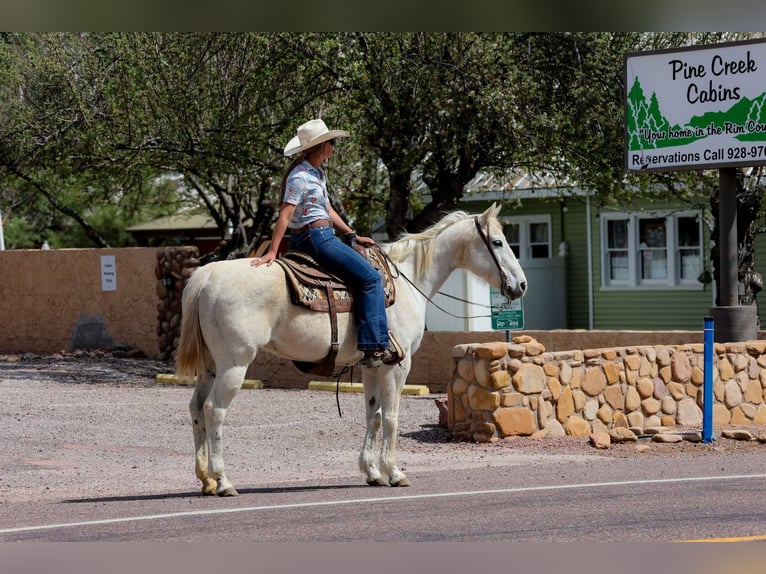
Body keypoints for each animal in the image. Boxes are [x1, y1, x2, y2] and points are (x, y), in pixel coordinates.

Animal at [175, 203, 527, 496]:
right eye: (498, 242)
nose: (521, 285)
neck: (407, 281)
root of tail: (207, 275)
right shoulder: (398, 366)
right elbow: (391, 418)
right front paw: (395, 472)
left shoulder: (372, 365)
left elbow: (373, 416)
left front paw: (372, 472)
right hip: (234, 364)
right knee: (214, 410)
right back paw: (223, 481)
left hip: (211, 366)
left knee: (196, 407)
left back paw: (206, 479)